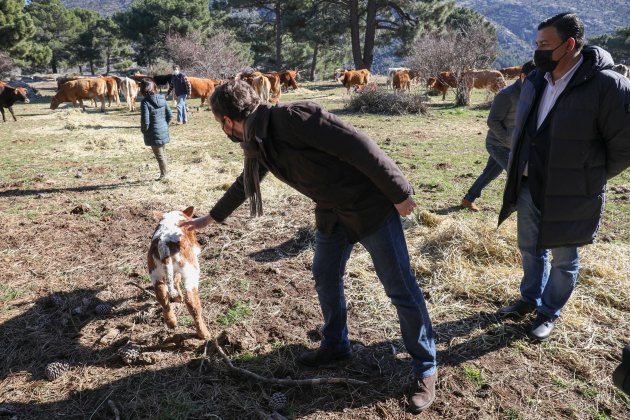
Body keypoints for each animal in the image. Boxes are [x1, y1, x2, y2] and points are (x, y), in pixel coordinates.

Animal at [148, 208, 210, 342]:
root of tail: (164, 243)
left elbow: (175, 279)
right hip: (190, 270)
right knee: (191, 301)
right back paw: (204, 333)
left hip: (154, 271)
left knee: (162, 294)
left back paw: (172, 322)